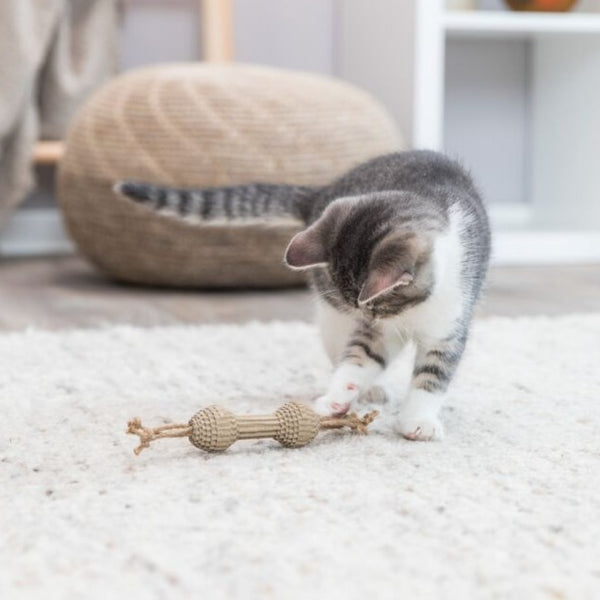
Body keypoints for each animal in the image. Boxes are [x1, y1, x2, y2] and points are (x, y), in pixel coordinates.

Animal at [115, 150, 490, 440]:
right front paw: (339, 394)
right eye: (366, 307)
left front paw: (418, 419)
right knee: (339, 344)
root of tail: (325, 192)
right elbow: (359, 356)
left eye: (376, 306)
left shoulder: (450, 322)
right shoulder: (373, 328)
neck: (411, 314)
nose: (364, 315)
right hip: (330, 310)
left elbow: (433, 374)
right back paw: (366, 388)